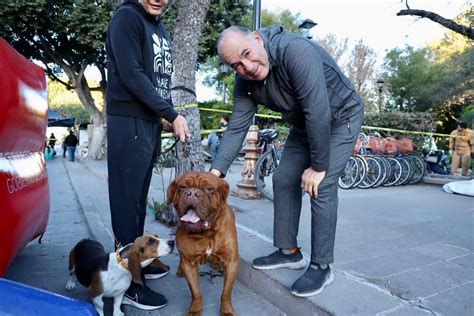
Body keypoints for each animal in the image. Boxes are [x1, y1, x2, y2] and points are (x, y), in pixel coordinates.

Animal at [168, 173, 241, 316]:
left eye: (209, 189)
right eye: (183, 187)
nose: (192, 193)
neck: (206, 234)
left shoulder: (231, 262)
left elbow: (226, 292)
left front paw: (227, 311)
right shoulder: (189, 263)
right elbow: (195, 291)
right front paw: (194, 310)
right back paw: (180, 270)